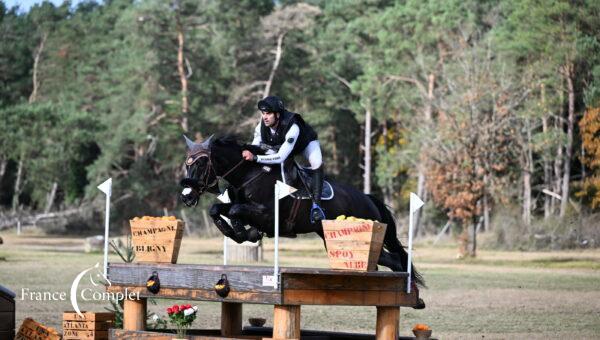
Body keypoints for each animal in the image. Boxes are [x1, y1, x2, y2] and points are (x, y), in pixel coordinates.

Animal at [179, 134, 426, 294]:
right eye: (187, 164)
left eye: (201, 164)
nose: (186, 196)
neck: (248, 175)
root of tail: (368, 198)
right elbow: (217, 209)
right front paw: (234, 230)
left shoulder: (268, 215)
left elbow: (236, 210)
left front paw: (243, 232)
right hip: (333, 239)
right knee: (387, 261)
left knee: (395, 259)